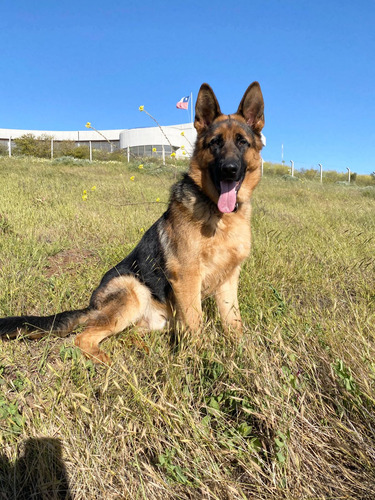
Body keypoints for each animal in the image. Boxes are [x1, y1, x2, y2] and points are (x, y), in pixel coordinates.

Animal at [0, 82, 264, 364]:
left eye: (242, 142)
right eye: (215, 143)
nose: (230, 169)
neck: (218, 213)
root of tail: (92, 306)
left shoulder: (229, 280)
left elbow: (233, 322)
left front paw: (243, 354)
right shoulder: (188, 276)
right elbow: (195, 322)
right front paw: (199, 359)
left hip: (155, 318)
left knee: (129, 335)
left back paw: (143, 353)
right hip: (133, 290)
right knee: (83, 338)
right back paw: (110, 362)